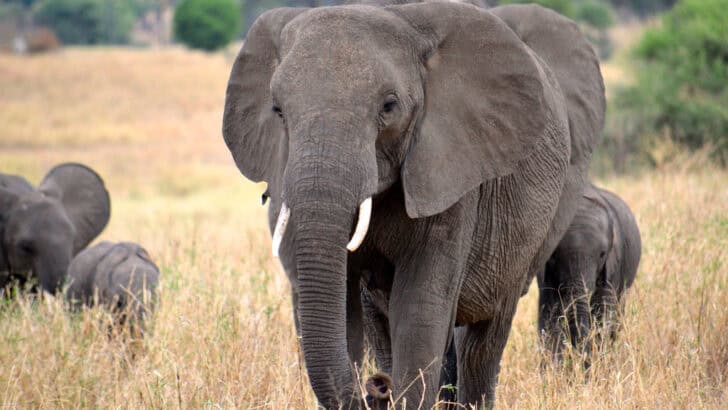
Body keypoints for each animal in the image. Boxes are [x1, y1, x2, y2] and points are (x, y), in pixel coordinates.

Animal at [222, 2, 604, 408]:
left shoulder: (450, 166)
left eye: (389, 106)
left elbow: (419, 308)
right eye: (278, 110)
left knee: (484, 341)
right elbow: (345, 303)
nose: (376, 386)